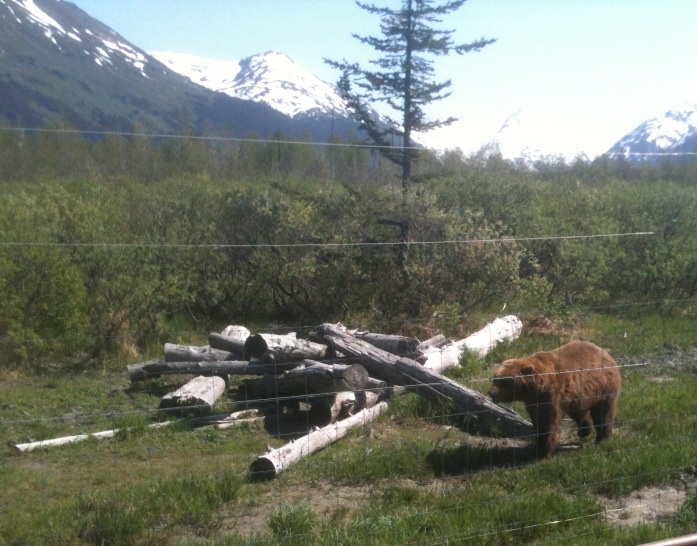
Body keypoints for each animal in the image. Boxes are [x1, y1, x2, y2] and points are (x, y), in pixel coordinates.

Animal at [488, 340, 621, 458]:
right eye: (495, 379)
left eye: (504, 381)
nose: (491, 393)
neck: (537, 387)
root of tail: (604, 352)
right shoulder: (534, 401)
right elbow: (538, 421)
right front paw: (537, 447)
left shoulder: (551, 396)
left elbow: (548, 423)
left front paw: (542, 453)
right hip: (579, 394)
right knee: (579, 412)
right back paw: (584, 430)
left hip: (603, 387)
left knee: (603, 413)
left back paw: (602, 439)